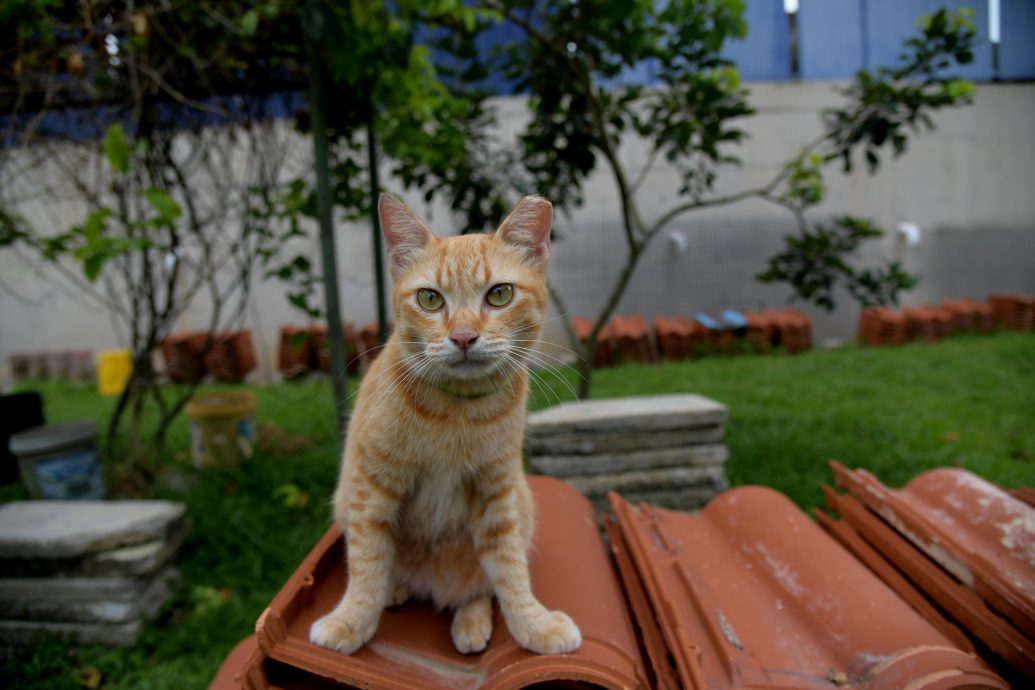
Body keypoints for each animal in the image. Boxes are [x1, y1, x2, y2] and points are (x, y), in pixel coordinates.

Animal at [306, 191, 583, 657]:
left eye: (500, 294)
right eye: (431, 300)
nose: (464, 337)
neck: (455, 415)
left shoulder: (497, 493)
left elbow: (509, 568)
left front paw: (532, 623)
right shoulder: (370, 487)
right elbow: (366, 563)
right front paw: (352, 620)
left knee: (477, 588)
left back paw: (470, 620)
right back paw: (397, 589)